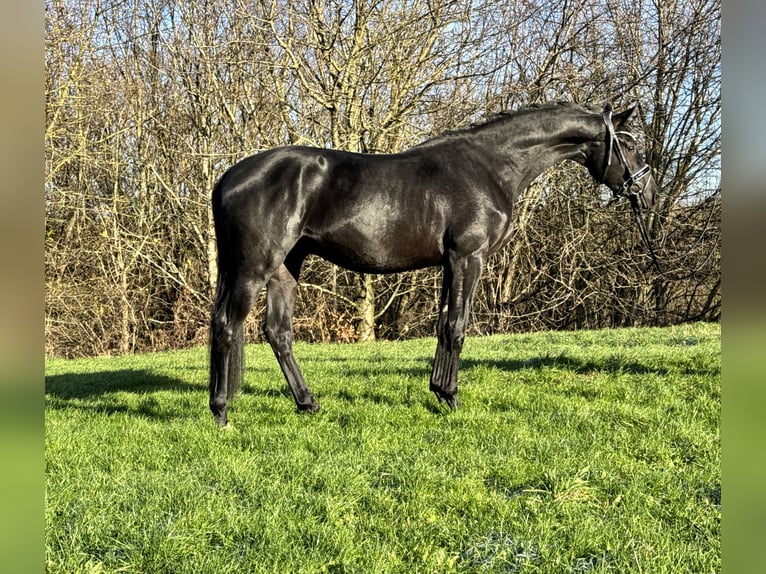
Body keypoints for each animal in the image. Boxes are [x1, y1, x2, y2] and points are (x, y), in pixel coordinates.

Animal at [210, 102, 660, 428]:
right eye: (629, 144)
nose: (649, 193)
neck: (490, 167)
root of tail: (229, 176)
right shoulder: (468, 258)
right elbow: (457, 328)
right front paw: (452, 398)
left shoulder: (450, 263)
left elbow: (444, 326)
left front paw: (439, 391)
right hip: (254, 267)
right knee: (228, 326)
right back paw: (221, 412)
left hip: (286, 267)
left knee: (278, 333)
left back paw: (308, 404)